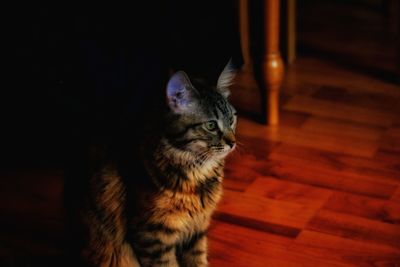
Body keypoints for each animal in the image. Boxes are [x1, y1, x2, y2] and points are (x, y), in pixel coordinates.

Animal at [79, 61, 238, 267]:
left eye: (232, 120)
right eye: (211, 125)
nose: (233, 142)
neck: (198, 170)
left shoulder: (196, 231)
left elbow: (198, 260)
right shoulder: (152, 236)